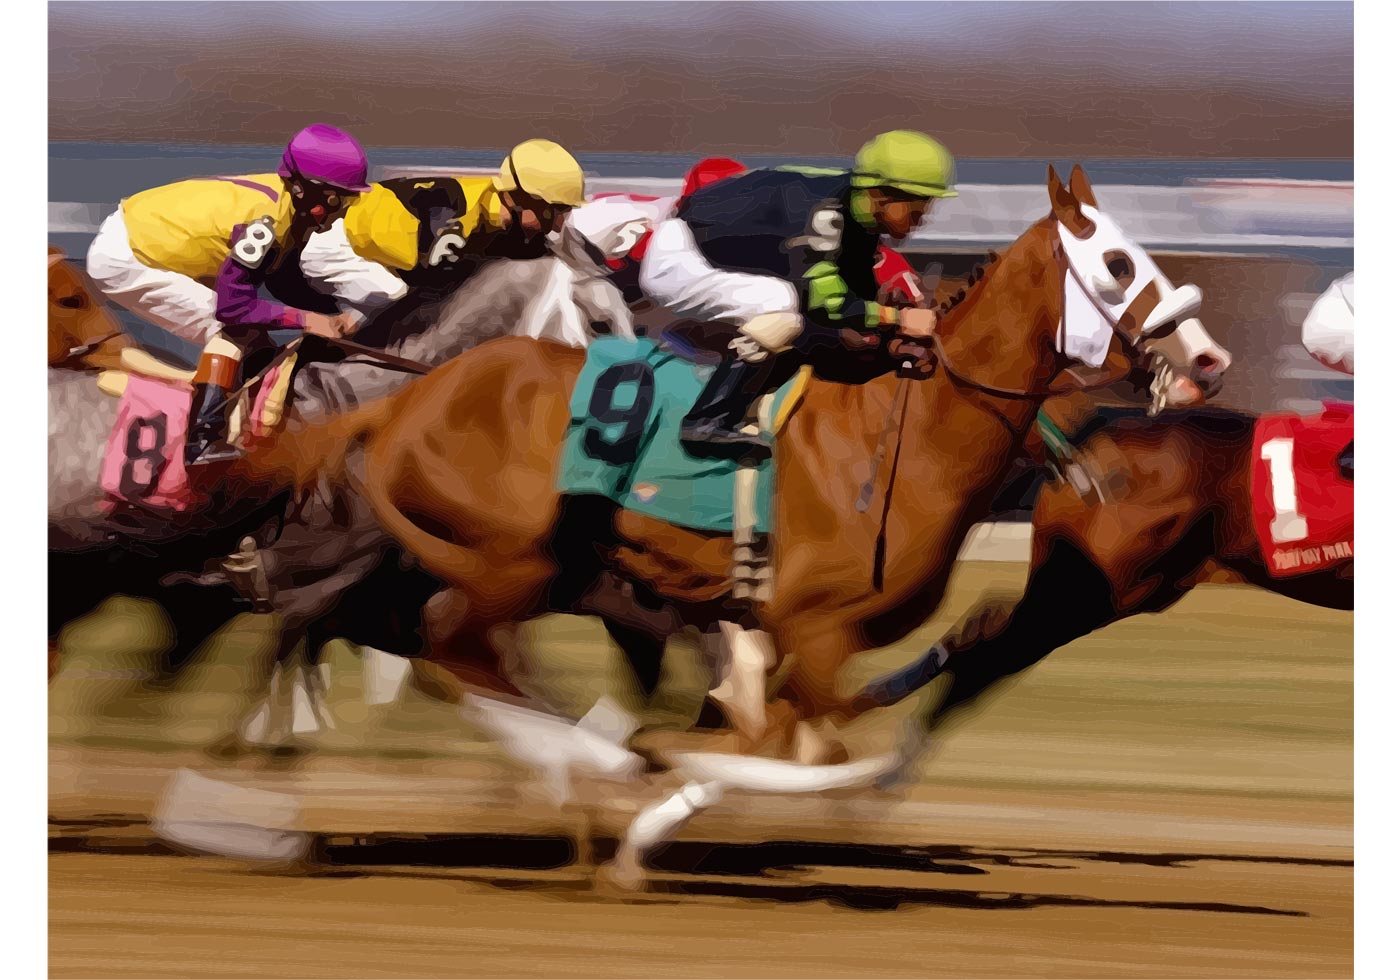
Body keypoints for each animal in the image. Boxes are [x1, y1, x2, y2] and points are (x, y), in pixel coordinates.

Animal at [235, 164, 1232, 761]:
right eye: (1115, 263)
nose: (1208, 361)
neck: (904, 433)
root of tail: (410, 392)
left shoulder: (791, 636)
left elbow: (799, 716)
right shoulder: (810, 628)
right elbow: (794, 728)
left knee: (440, 652)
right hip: (502, 564)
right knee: (438, 647)